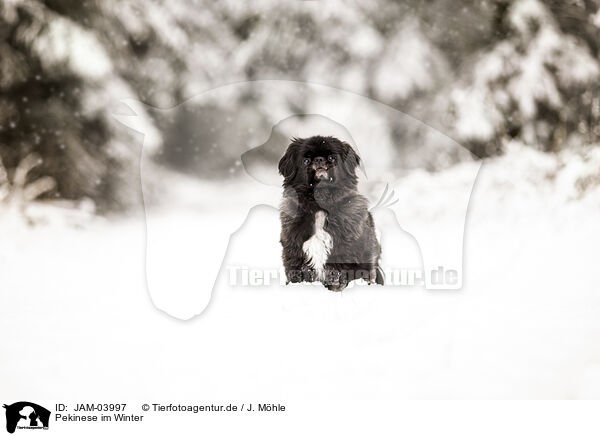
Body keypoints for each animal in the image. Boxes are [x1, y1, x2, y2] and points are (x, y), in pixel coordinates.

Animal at [278, 135, 384, 292]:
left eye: (332, 158)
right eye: (306, 161)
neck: (319, 206)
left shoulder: (346, 257)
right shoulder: (295, 255)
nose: (319, 159)